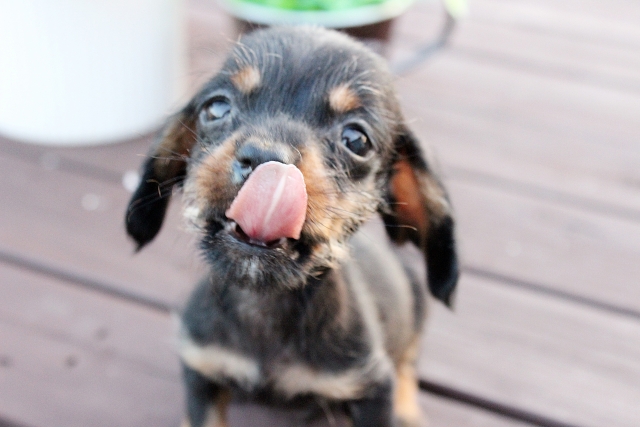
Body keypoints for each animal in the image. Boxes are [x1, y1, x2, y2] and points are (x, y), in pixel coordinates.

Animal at [126, 26, 458, 427]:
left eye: (356, 139)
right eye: (216, 108)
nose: (264, 158)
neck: (264, 305)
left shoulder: (372, 388)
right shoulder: (202, 370)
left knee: (409, 362)